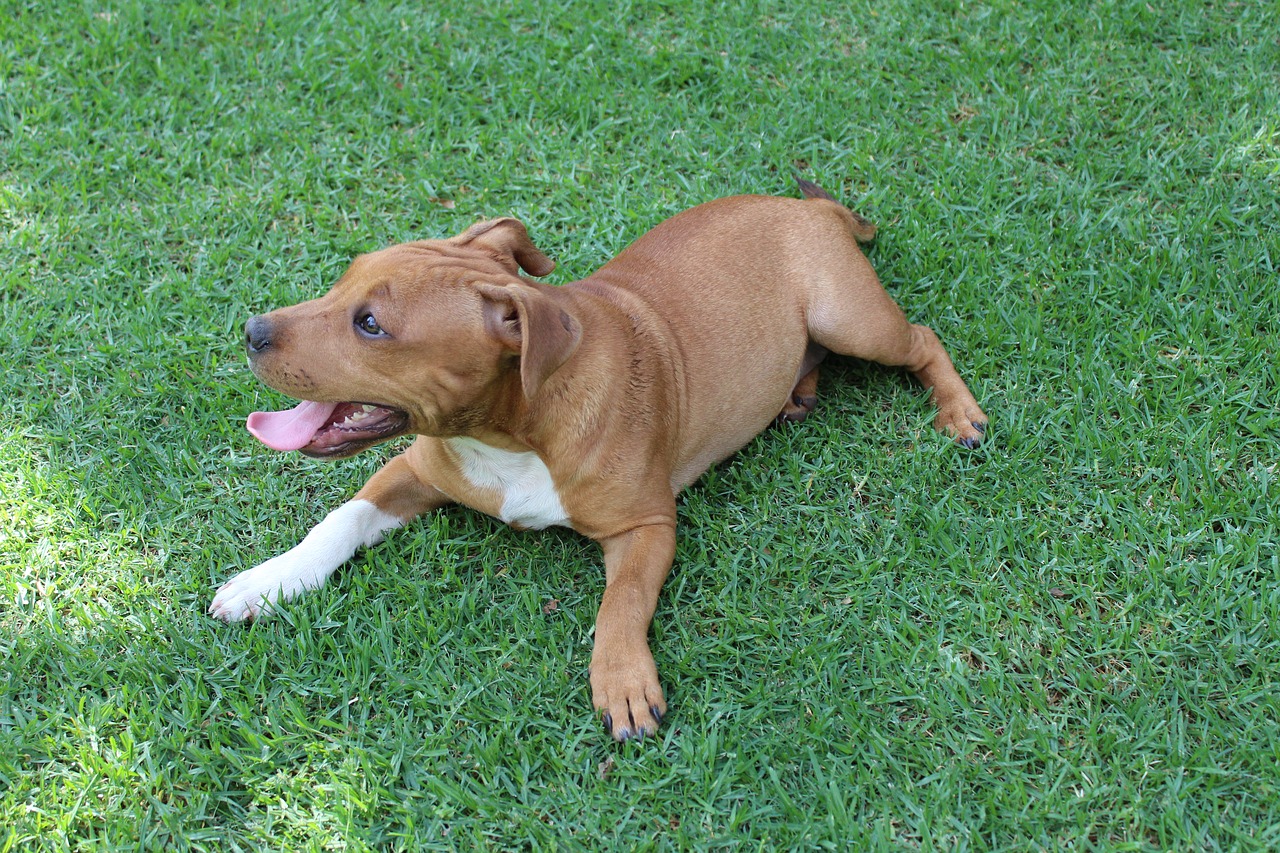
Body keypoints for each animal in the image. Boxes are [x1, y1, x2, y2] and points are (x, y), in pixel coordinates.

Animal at [212, 179, 988, 737]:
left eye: (370, 324)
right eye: (343, 281)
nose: (252, 330)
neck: (511, 432)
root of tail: (809, 208)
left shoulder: (647, 526)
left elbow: (622, 603)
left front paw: (623, 681)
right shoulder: (412, 470)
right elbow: (337, 521)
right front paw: (267, 582)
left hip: (850, 316)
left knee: (921, 337)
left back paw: (960, 413)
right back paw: (798, 392)